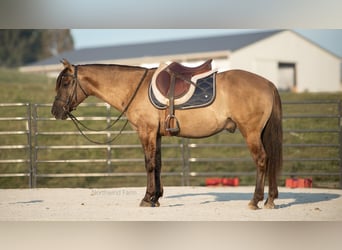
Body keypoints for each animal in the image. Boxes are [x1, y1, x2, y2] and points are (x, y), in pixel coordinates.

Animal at [52, 58, 282, 209]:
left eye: (66, 83)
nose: (55, 111)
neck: (134, 89)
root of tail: (268, 83)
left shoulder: (146, 132)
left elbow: (149, 164)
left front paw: (147, 198)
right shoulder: (157, 134)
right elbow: (158, 164)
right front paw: (156, 198)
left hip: (251, 132)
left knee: (262, 160)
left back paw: (255, 200)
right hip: (260, 133)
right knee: (270, 159)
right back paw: (270, 199)